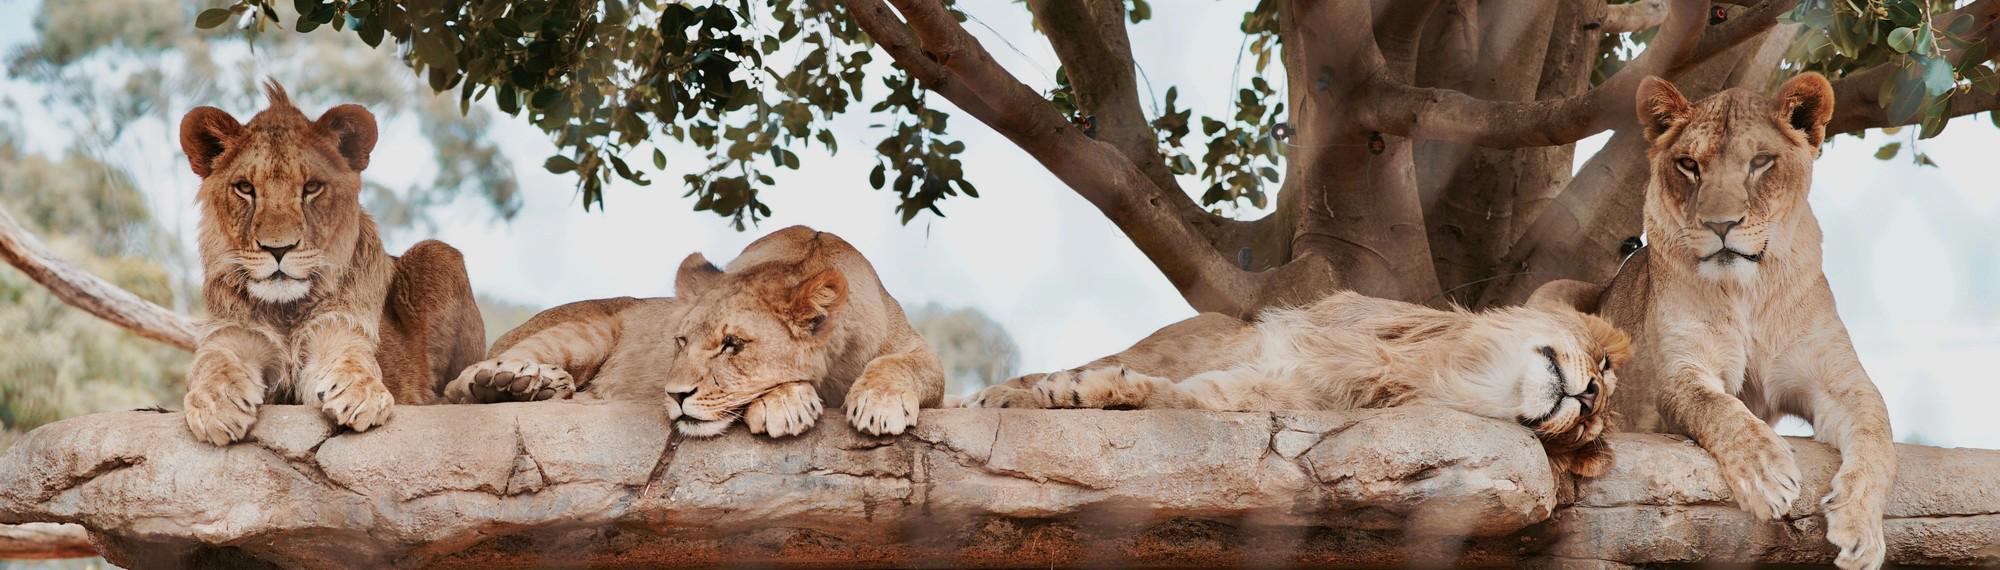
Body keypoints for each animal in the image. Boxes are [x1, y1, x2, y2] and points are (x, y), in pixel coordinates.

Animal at [175, 81, 485, 445]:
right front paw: (217, 403)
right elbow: (213, 364)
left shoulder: (339, 329)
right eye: (245, 188)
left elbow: (352, 360)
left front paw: (360, 393)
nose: (278, 249)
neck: (286, 312)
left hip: (438, 252)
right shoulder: (232, 335)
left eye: (312, 188)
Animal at [447, 226, 945, 439]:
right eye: (681, 341)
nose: (675, 395)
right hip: (585, 332)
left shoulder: (918, 352)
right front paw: (784, 403)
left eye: (732, 345)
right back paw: (512, 382)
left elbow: (901, 365)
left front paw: (879, 403)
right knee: (457, 386)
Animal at [965, 290, 1631, 477]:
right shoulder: (1255, 350)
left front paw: (1089, 395)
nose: (1589, 399)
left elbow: (1171, 395)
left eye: (1585, 434)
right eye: (1603, 365)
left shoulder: (1263, 395)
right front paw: (1040, 393)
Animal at [1531, 73, 1893, 570]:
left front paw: (1861, 529)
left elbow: (1878, 433)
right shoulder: (1681, 372)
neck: (1748, 291)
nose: (1721, 225)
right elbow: (1721, 408)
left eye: (1760, 162)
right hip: (1553, 293)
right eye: (1689, 165)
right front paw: (1767, 474)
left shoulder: (1838, 380)